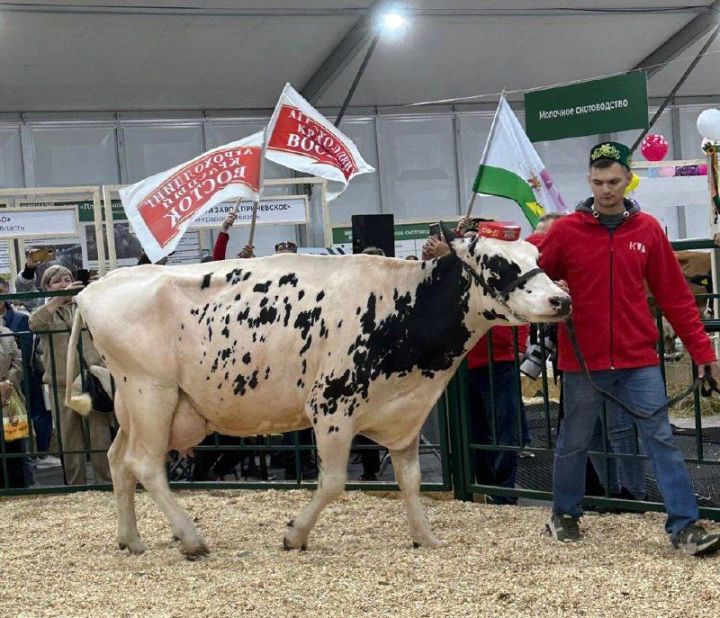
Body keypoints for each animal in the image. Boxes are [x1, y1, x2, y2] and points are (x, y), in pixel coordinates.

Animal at [67, 233, 572, 556]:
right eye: (499, 264)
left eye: (535, 252)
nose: (561, 300)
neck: (401, 304)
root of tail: (93, 289)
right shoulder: (331, 407)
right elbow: (331, 483)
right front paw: (295, 536)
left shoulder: (405, 411)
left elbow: (410, 481)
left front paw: (425, 538)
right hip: (152, 392)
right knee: (146, 465)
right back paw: (191, 539)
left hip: (136, 403)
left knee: (118, 460)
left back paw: (131, 539)